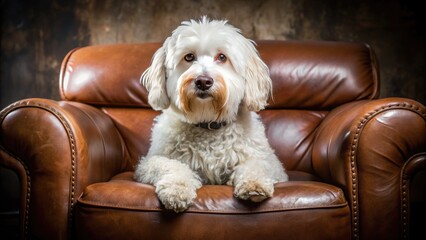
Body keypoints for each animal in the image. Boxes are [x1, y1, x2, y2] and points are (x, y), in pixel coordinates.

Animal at [136, 16, 290, 212]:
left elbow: (256, 164)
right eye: (189, 57)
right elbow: (171, 165)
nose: (203, 81)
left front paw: (254, 184)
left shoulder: (272, 165)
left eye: (222, 57)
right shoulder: (149, 162)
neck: (208, 122)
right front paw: (177, 189)